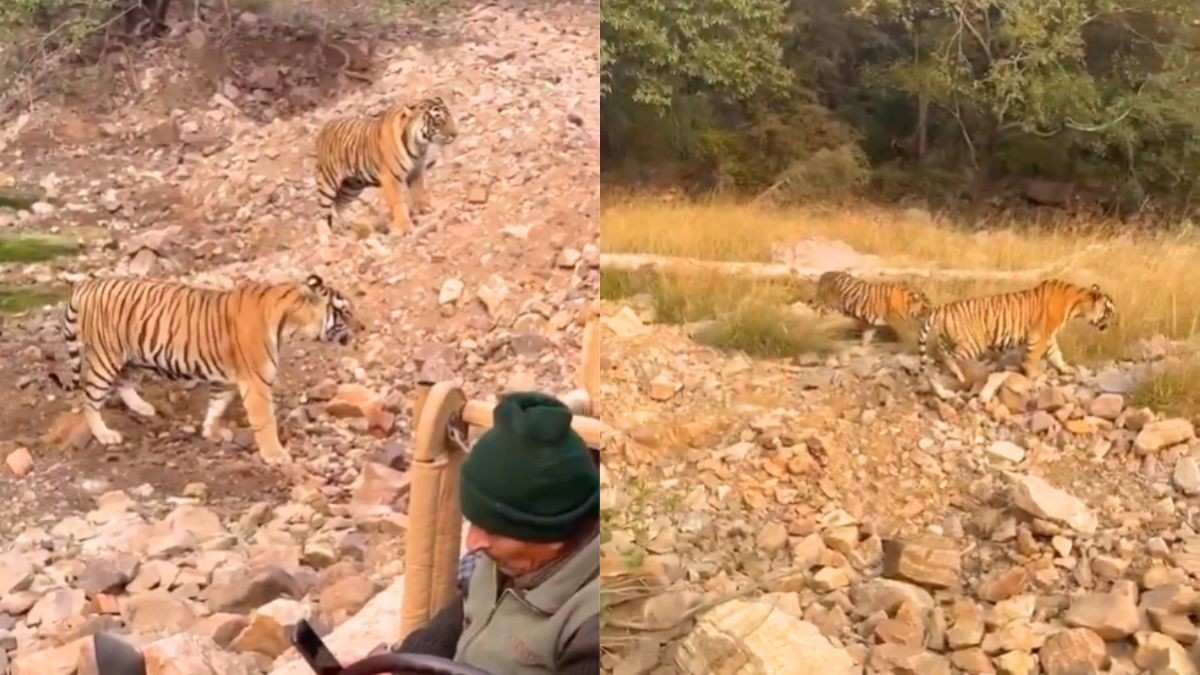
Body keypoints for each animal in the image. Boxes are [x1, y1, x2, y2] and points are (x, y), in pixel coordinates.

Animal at [49, 274, 362, 465]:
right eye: (345, 312)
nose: (363, 327)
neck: (290, 321)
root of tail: (87, 285)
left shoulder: (227, 379)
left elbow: (217, 405)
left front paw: (211, 431)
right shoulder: (257, 382)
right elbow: (265, 421)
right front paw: (275, 454)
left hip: (133, 356)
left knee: (124, 383)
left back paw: (142, 407)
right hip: (106, 357)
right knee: (89, 397)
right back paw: (104, 434)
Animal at [315, 96, 459, 242]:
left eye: (450, 116)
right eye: (438, 121)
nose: (455, 134)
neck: (418, 145)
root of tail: (325, 127)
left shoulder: (416, 171)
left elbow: (418, 192)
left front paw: (424, 210)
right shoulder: (391, 178)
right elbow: (398, 203)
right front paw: (404, 228)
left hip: (353, 185)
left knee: (340, 204)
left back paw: (350, 225)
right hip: (328, 182)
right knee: (321, 212)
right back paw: (326, 237)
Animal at [918, 279, 1115, 384]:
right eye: (1109, 311)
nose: (1111, 324)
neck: (1078, 305)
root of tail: (942, 308)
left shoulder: (1049, 337)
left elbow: (1056, 354)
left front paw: (1066, 369)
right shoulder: (1039, 336)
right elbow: (1033, 358)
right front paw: (1034, 376)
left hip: (946, 339)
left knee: (941, 354)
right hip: (972, 343)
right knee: (950, 358)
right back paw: (959, 374)